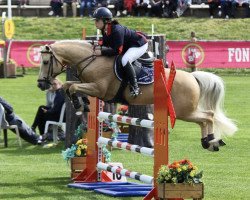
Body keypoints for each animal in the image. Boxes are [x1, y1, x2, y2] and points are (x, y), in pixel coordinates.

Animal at [36, 40, 236, 152]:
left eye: (45, 62)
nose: (40, 84)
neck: (91, 60)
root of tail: (193, 77)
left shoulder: (100, 90)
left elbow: (73, 87)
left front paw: (79, 106)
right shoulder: (91, 88)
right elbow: (69, 86)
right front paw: (82, 103)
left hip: (183, 112)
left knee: (208, 116)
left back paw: (211, 141)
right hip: (185, 111)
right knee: (206, 118)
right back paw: (209, 142)